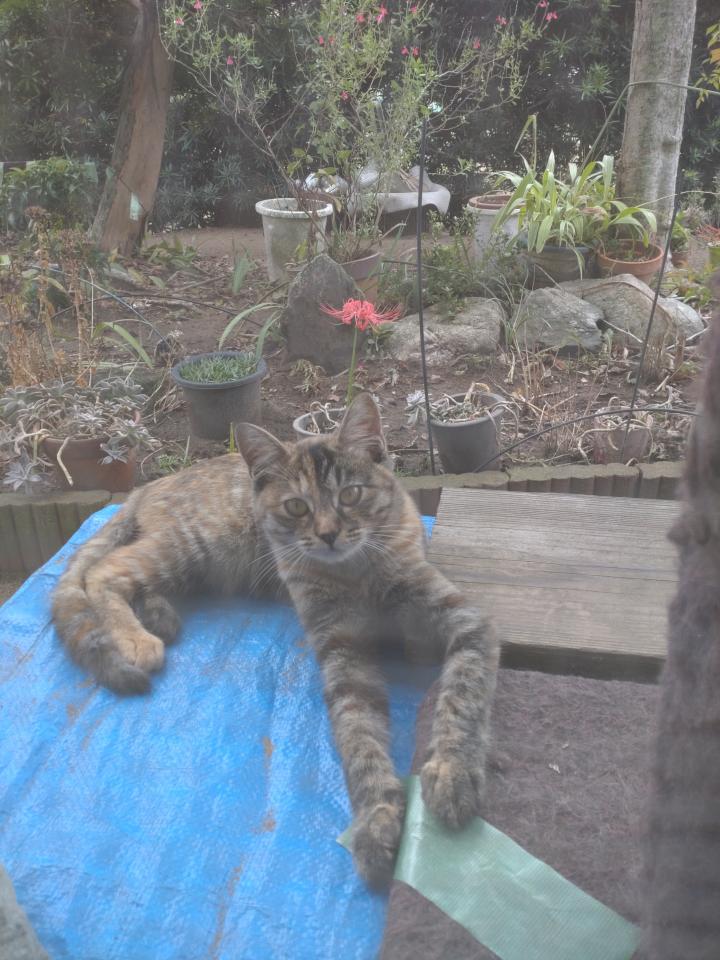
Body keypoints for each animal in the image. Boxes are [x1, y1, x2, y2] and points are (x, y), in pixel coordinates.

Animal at [52, 392, 499, 887]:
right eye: (297, 507)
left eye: (351, 494)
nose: (328, 534)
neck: (355, 572)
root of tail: (147, 486)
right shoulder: (342, 653)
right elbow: (359, 741)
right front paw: (377, 820)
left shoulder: (464, 622)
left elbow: (461, 697)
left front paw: (453, 773)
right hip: (190, 546)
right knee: (103, 571)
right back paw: (135, 639)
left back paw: (159, 618)